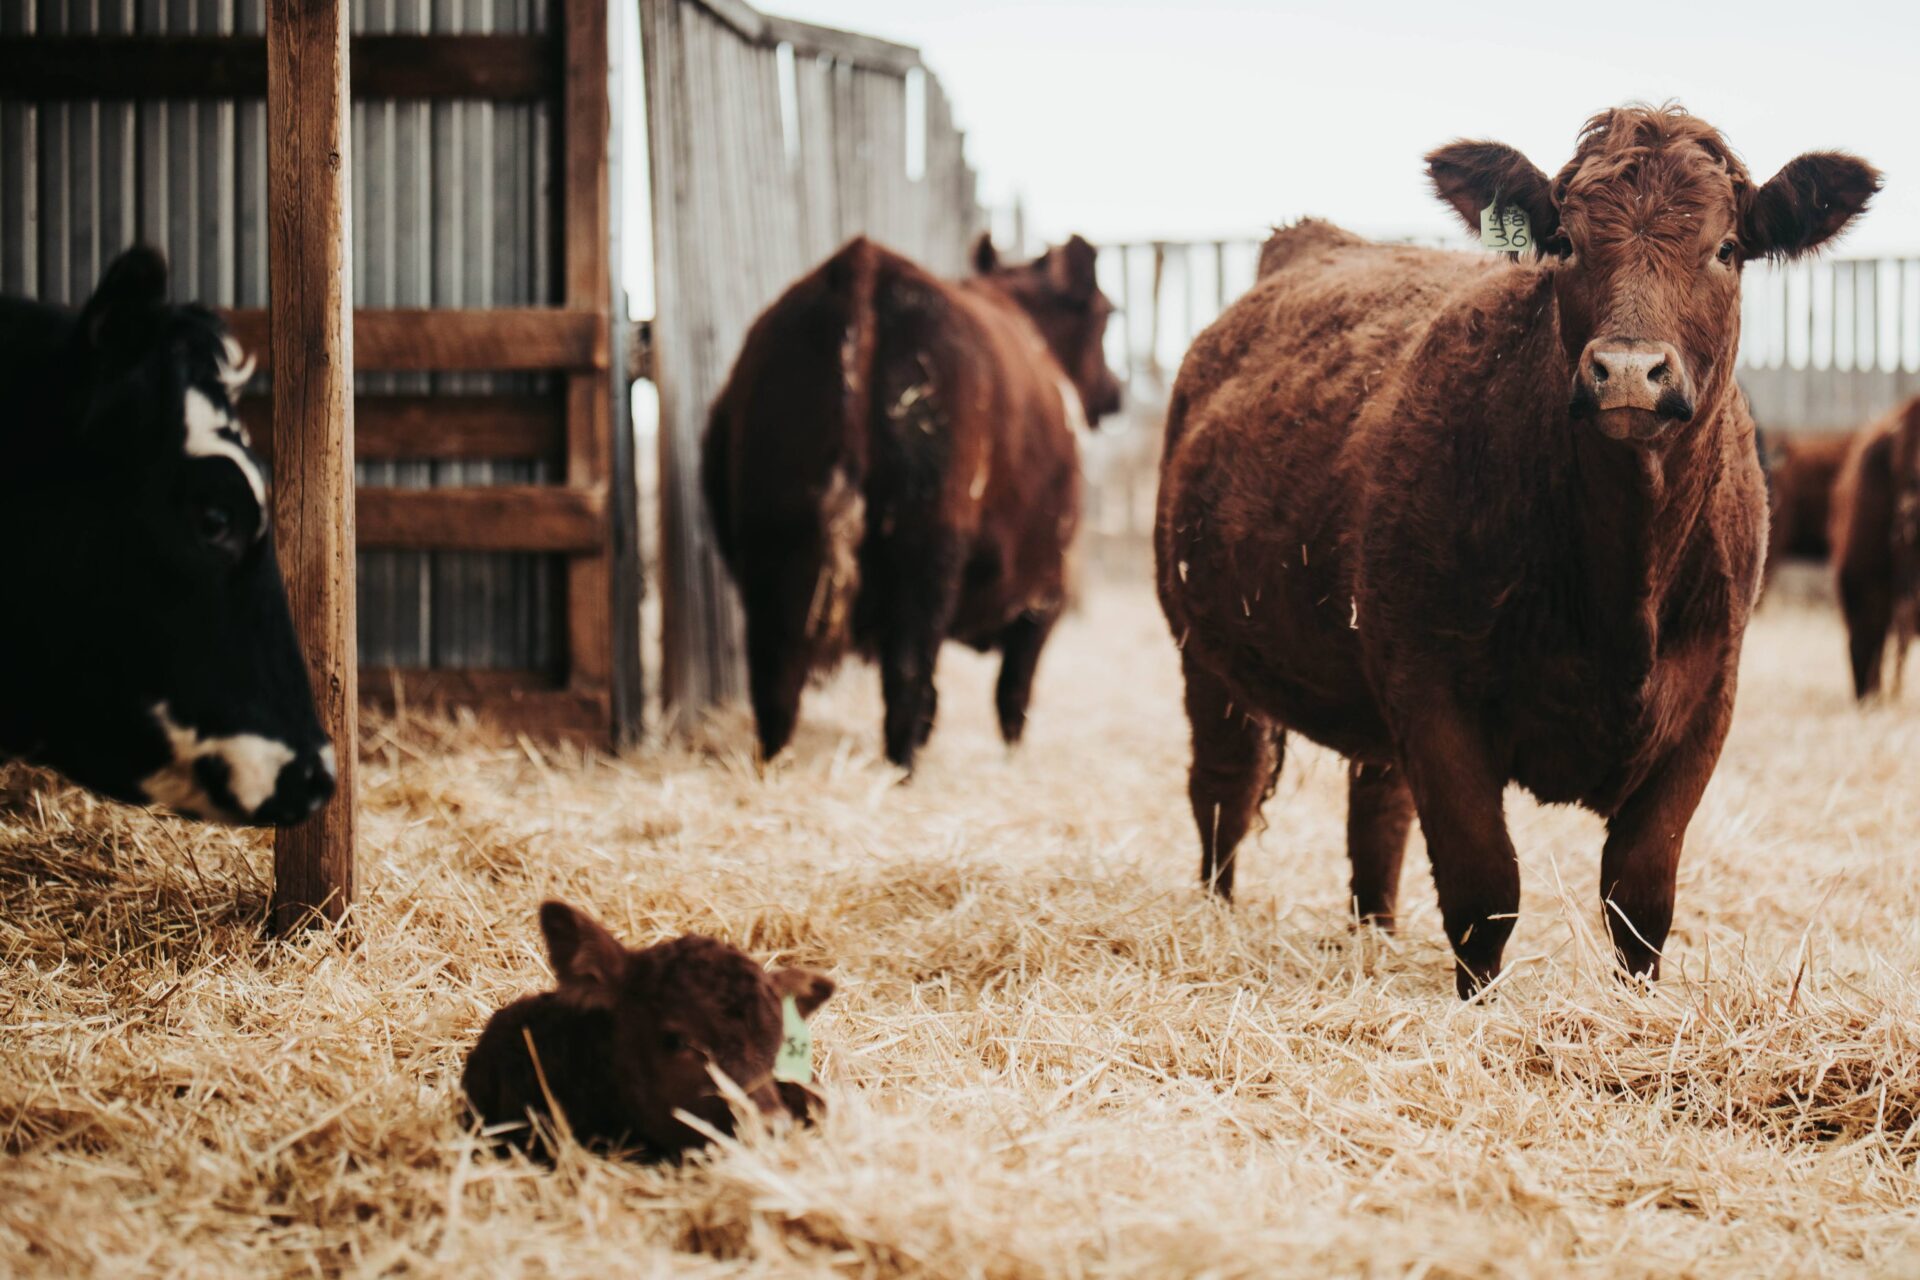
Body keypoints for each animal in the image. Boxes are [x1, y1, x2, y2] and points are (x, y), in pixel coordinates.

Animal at [702, 234, 1123, 771]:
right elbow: (1012, 696)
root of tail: (864, 264)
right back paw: (900, 772)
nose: (1116, 391)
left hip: (770, 541)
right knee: (907, 675)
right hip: (926, 548)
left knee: (776, 673)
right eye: (1106, 314)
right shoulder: (1043, 596)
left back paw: (775, 766)